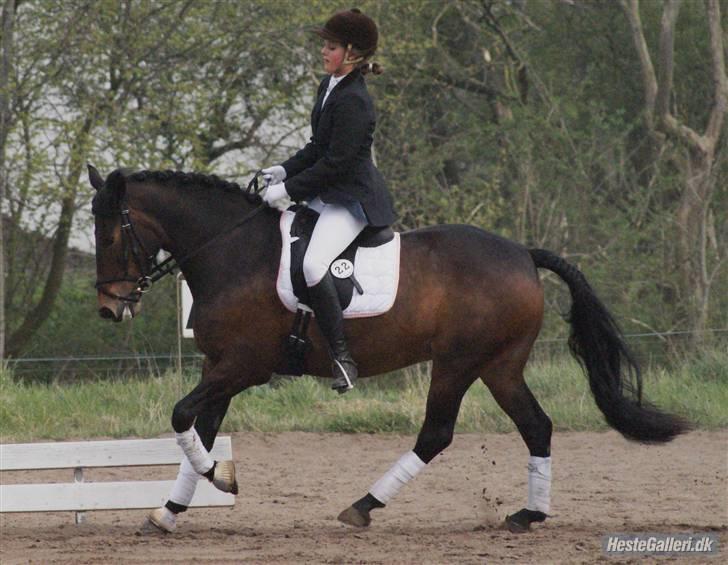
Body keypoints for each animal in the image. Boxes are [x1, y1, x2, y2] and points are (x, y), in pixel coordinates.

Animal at [89, 165, 688, 534]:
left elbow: (182, 416)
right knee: (536, 426)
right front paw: (169, 512)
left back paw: (362, 507)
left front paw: (222, 479)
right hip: (500, 366)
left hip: (458, 362)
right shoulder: (220, 367)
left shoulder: (242, 367)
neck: (233, 251)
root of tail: (522, 253)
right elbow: (200, 429)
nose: (110, 308)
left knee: (437, 434)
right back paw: (527, 515)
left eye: (111, 235)